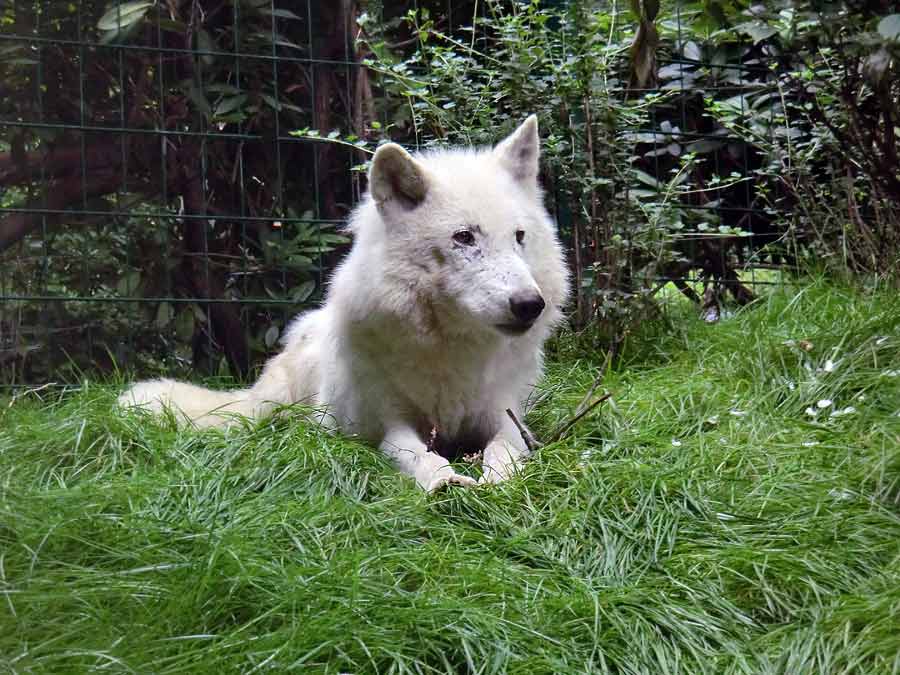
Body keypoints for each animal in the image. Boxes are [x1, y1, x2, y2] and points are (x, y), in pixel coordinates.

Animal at [119, 117, 568, 492]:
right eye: (464, 237)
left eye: (519, 236)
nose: (530, 304)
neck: (454, 350)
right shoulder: (387, 423)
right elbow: (416, 454)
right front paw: (445, 481)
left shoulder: (505, 414)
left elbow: (505, 448)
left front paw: (497, 479)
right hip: (278, 403)